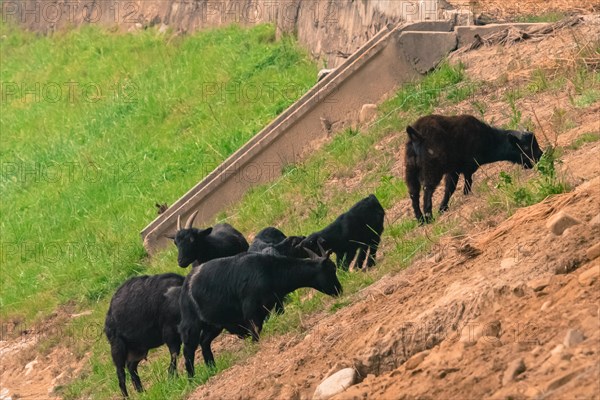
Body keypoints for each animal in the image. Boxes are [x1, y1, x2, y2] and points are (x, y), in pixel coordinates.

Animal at [177, 247, 342, 378]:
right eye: (331, 269)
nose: (339, 290)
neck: (271, 271)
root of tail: (187, 283)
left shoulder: (273, 306)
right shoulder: (252, 313)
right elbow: (255, 334)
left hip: (214, 325)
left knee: (204, 342)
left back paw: (212, 368)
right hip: (192, 325)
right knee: (188, 350)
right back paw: (191, 378)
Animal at [404, 114, 544, 223]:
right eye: (526, 147)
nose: (540, 156)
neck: (487, 138)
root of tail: (417, 136)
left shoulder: (455, 170)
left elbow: (451, 188)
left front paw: (443, 208)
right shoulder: (463, 169)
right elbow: (458, 185)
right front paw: (446, 206)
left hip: (410, 170)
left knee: (413, 193)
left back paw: (420, 219)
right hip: (431, 170)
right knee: (427, 189)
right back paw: (428, 217)